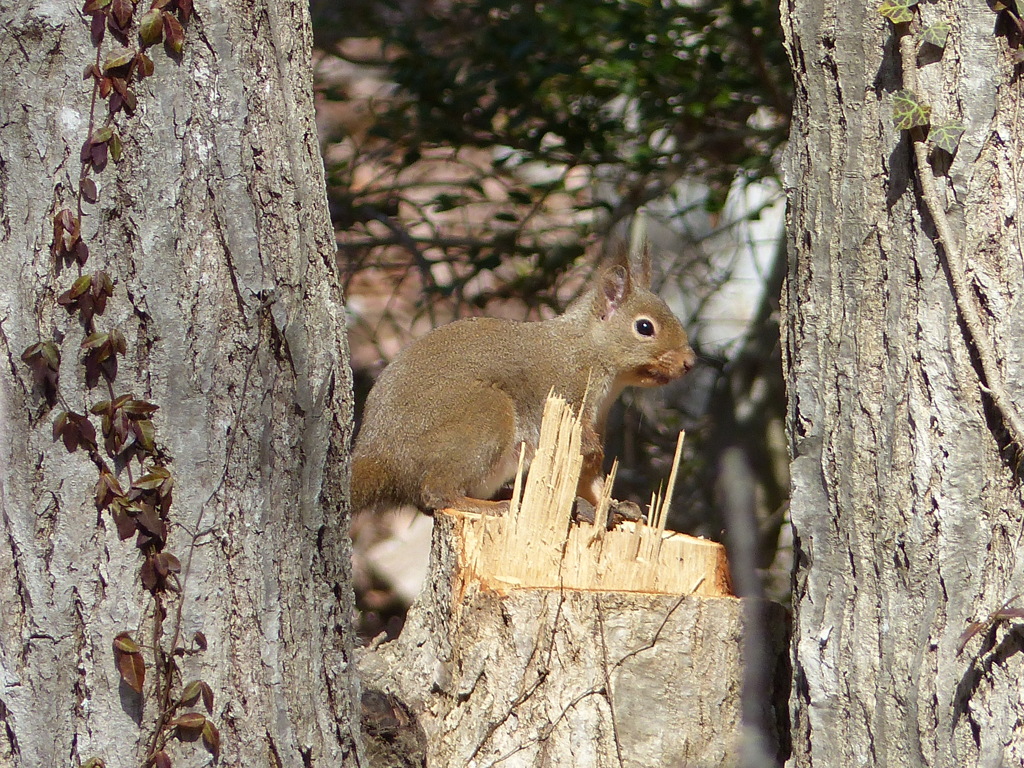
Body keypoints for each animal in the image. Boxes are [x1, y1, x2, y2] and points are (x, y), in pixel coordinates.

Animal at [352, 249, 696, 520]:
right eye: (644, 327)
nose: (689, 362)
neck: (589, 350)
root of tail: (383, 454)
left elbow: (590, 480)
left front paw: (613, 505)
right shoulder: (565, 389)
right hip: (483, 417)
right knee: (435, 493)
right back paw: (491, 506)